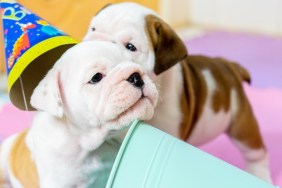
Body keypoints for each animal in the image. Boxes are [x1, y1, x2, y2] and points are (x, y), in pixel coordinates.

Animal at [83, 2, 274, 182]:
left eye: (130, 46)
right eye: (93, 29)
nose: (97, 44)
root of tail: (228, 65)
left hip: (241, 124)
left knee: (256, 153)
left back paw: (261, 175)